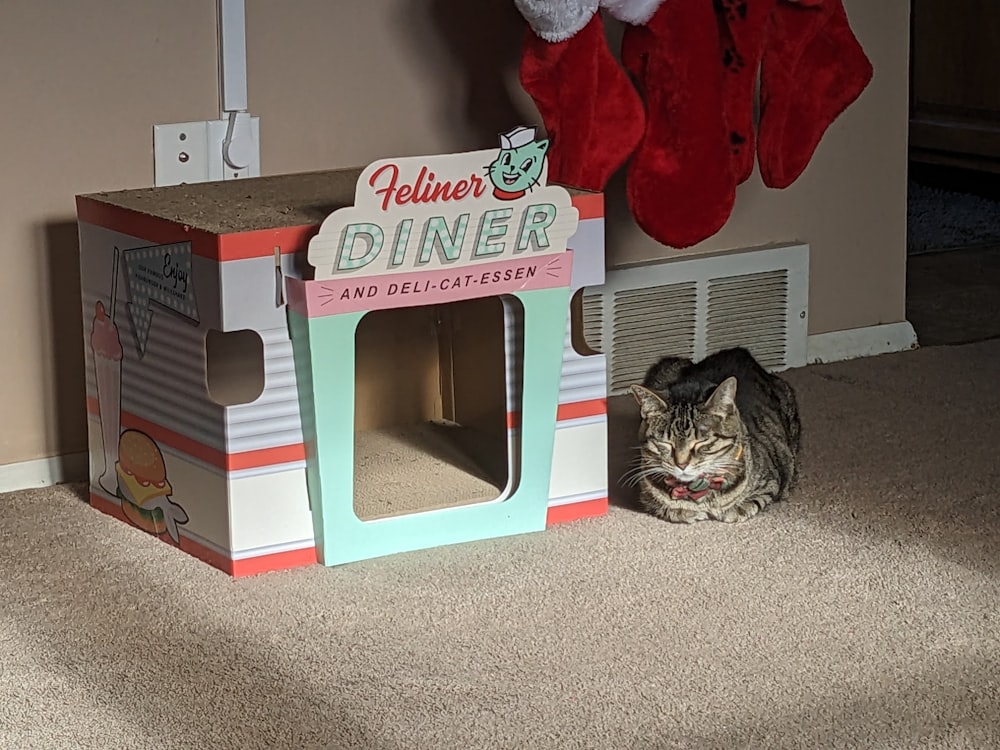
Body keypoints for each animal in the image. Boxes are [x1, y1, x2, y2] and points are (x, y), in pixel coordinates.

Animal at [628, 346, 800, 524]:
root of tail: (740, 351)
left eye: (701, 442)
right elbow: (670, 508)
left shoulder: (771, 483)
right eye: (666, 443)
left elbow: (747, 505)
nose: (681, 465)